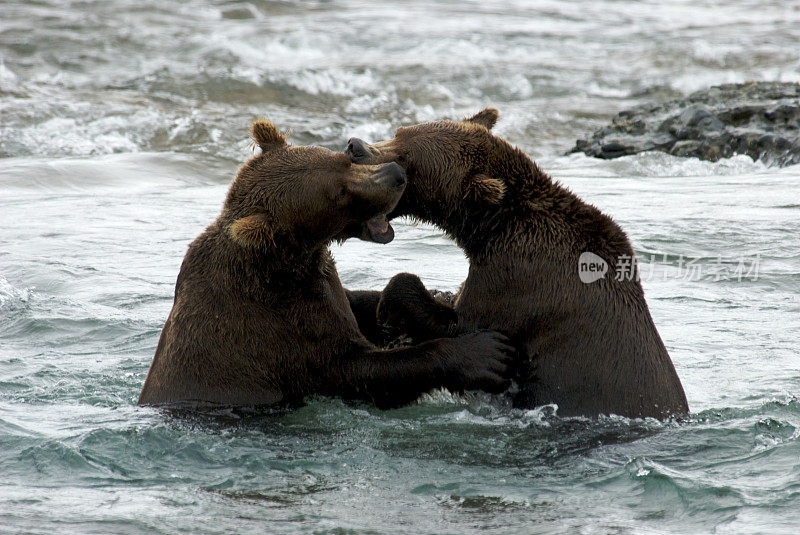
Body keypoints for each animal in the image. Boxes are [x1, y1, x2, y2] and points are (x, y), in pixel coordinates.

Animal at [137, 119, 512, 408]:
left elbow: (353, 302)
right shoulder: (282, 329)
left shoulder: (318, 287)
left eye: (341, 159)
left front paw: (426, 300)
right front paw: (484, 353)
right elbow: (362, 370)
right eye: (338, 194)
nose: (397, 174)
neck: (295, 259)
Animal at [346, 109, 692, 418]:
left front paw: (390, 309)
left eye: (407, 158)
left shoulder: (519, 280)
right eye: (399, 132)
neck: (492, 226)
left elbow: (459, 320)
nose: (355, 146)